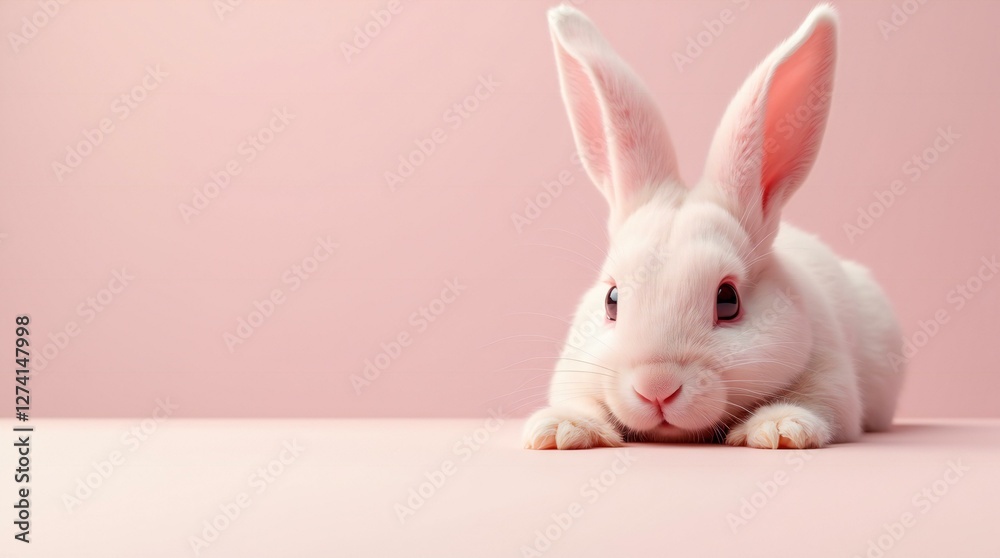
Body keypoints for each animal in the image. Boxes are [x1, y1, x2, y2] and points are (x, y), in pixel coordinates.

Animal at [523, 3, 905, 450]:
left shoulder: (832, 380)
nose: (657, 388)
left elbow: (815, 404)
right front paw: (560, 429)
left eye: (728, 300)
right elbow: (579, 402)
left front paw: (778, 429)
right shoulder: (575, 372)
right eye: (611, 300)